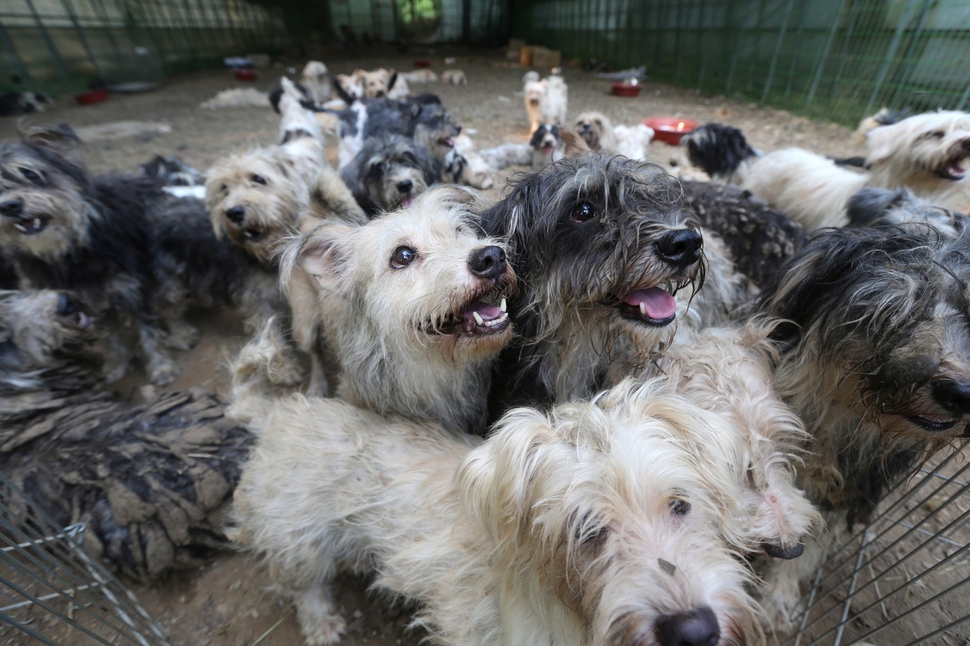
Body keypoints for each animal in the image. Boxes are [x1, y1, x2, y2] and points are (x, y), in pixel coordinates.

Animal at [231, 380, 760, 646]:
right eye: (586, 529)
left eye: (680, 504)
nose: (693, 632)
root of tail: (280, 413)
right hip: (299, 543)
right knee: (304, 589)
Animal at [272, 189, 516, 440]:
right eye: (403, 255)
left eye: (458, 231)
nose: (491, 257)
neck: (427, 366)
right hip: (305, 325)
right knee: (314, 352)